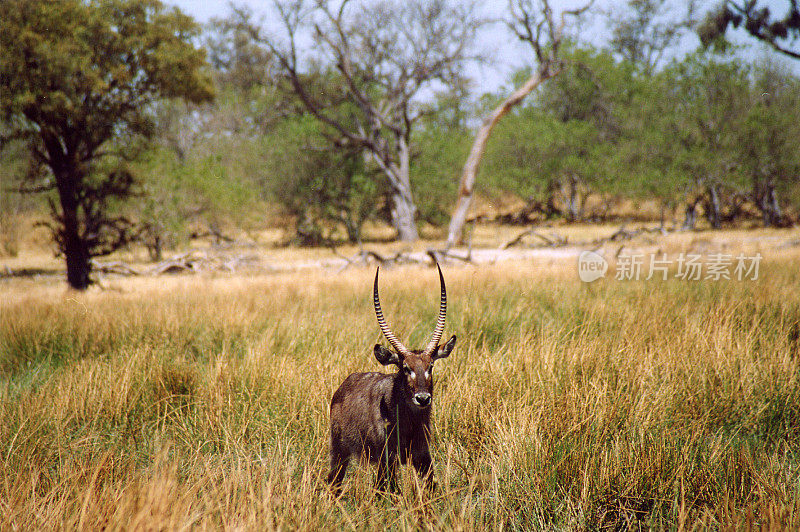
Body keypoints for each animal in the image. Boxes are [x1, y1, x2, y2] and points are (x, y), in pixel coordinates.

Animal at [326, 264, 456, 494]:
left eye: (430, 366)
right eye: (405, 368)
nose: (423, 398)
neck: (409, 421)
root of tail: (344, 385)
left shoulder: (423, 456)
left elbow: (432, 488)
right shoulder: (388, 459)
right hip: (339, 452)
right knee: (334, 483)